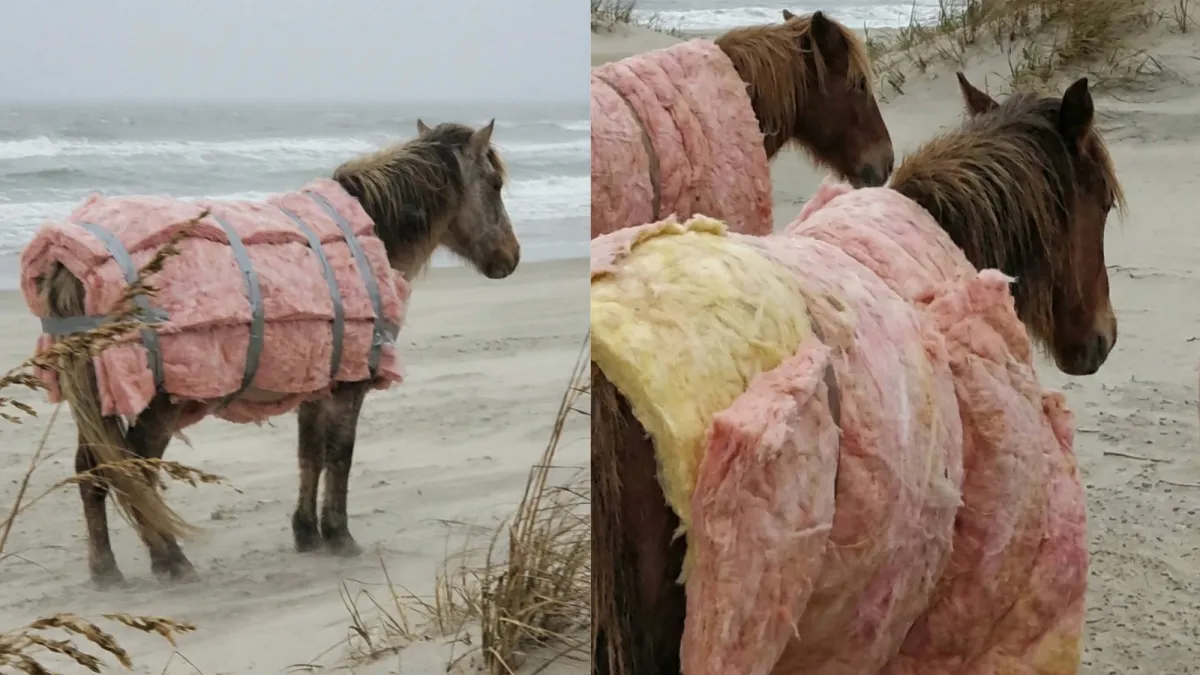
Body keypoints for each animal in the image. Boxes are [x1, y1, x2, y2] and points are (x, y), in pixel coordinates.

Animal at [36, 119, 518, 587]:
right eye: (494, 183)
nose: (511, 258)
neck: (371, 231)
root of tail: (69, 264)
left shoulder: (318, 381)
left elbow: (310, 455)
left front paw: (307, 533)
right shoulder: (349, 383)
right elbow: (339, 455)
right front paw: (339, 535)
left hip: (96, 397)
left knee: (93, 471)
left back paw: (106, 569)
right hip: (158, 403)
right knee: (133, 473)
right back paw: (170, 560)